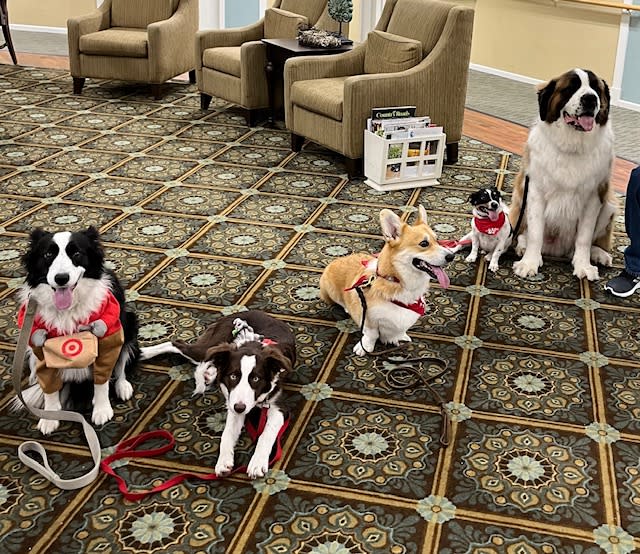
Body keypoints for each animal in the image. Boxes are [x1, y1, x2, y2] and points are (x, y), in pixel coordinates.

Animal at [13, 226, 139, 434]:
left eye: (77, 254)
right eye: (48, 254)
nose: (61, 278)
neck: (67, 310)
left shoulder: (106, 339)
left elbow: (102, 380)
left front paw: (102, 410)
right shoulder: (41, 348)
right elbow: (49, 389)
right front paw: (50, 417)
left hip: (129, 324)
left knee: (121, 366)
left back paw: (123, 387)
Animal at [140, 310, 296, 478]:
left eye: (256, 379)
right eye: (233, 376)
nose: (240, 408)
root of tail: (244, 312)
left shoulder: (278, 407)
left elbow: (266, 434)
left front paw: (257, 463)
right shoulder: (234, 402)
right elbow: (226, 434)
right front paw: (223, 461)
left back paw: (210, 373)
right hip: (210, 347)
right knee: (177, 343)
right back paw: (143, 352)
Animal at [318, 205, 450, 356]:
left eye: (437, 240)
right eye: (424, 243)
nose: (451, 256)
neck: (398, 281)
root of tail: (336, 260)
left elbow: (399, 330)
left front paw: (398, 337)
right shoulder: (368, 317)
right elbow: (371, 334)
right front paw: (365, 347)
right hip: (331, 291)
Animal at [510, 66, 616, 278]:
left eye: (596, 88)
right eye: (571, 88)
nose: (590, 99)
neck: (572, 145)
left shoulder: (594, 196)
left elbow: (584, 237)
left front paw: (583, 265)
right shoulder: (535, 192)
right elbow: (535, 233)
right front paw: (529, 263)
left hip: (609, 206)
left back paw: (598, 254)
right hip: (519, 199)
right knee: (524, 233)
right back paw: (522, 247)